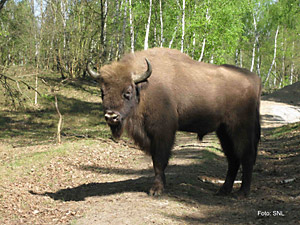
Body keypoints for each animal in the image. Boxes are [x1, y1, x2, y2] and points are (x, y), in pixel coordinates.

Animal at [87, 47, 260, 197]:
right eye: (102, 91)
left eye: (127, 92)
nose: (111, 116)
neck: (144, 88)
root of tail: (254, 79)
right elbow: (156, 161)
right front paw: (161, 185)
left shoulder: (163, 132)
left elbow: (159, 160)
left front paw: (156, 190)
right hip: (224, 131)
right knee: (233, 158)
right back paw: (223, 190)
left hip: (240, 128)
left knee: (246, 155)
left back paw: (242, 192)